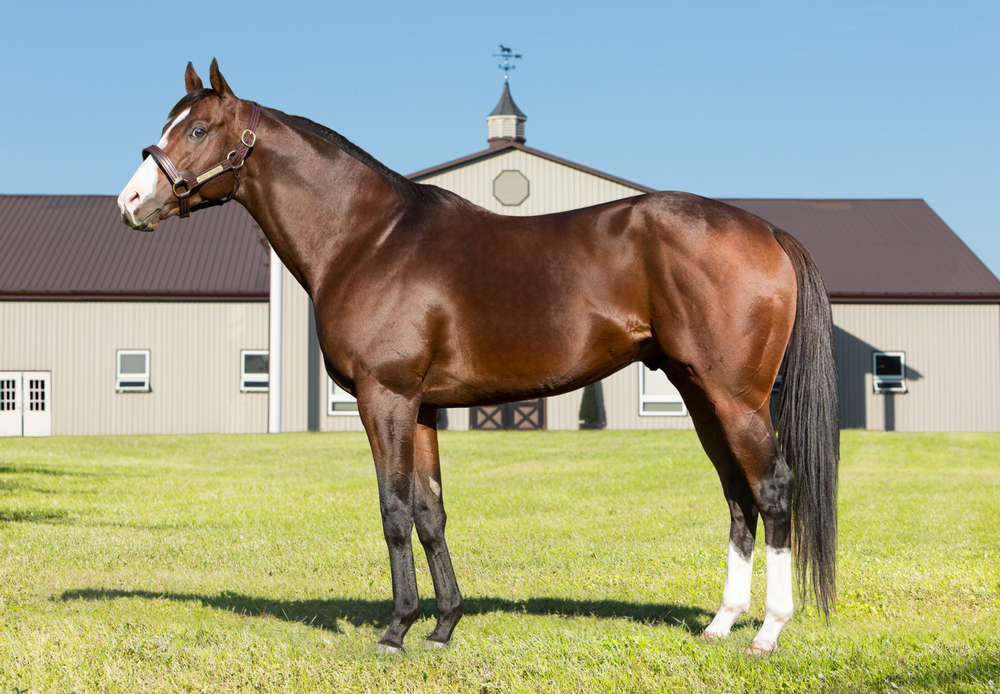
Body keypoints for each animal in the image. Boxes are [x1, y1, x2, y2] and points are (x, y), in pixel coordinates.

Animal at [117, 60, 838, 656]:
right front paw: (442, 625)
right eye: (169, 124)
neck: (367, 239)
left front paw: (396, 629)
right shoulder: (422, 408)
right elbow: (430, 512)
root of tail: (766, 230)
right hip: (699, 395)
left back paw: (768, 631)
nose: (131, 203)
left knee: (773, 490)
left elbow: (394, 510)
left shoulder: (386, 398)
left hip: (736, 398)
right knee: (738, 496)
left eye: (200, 128)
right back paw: (721, 623)